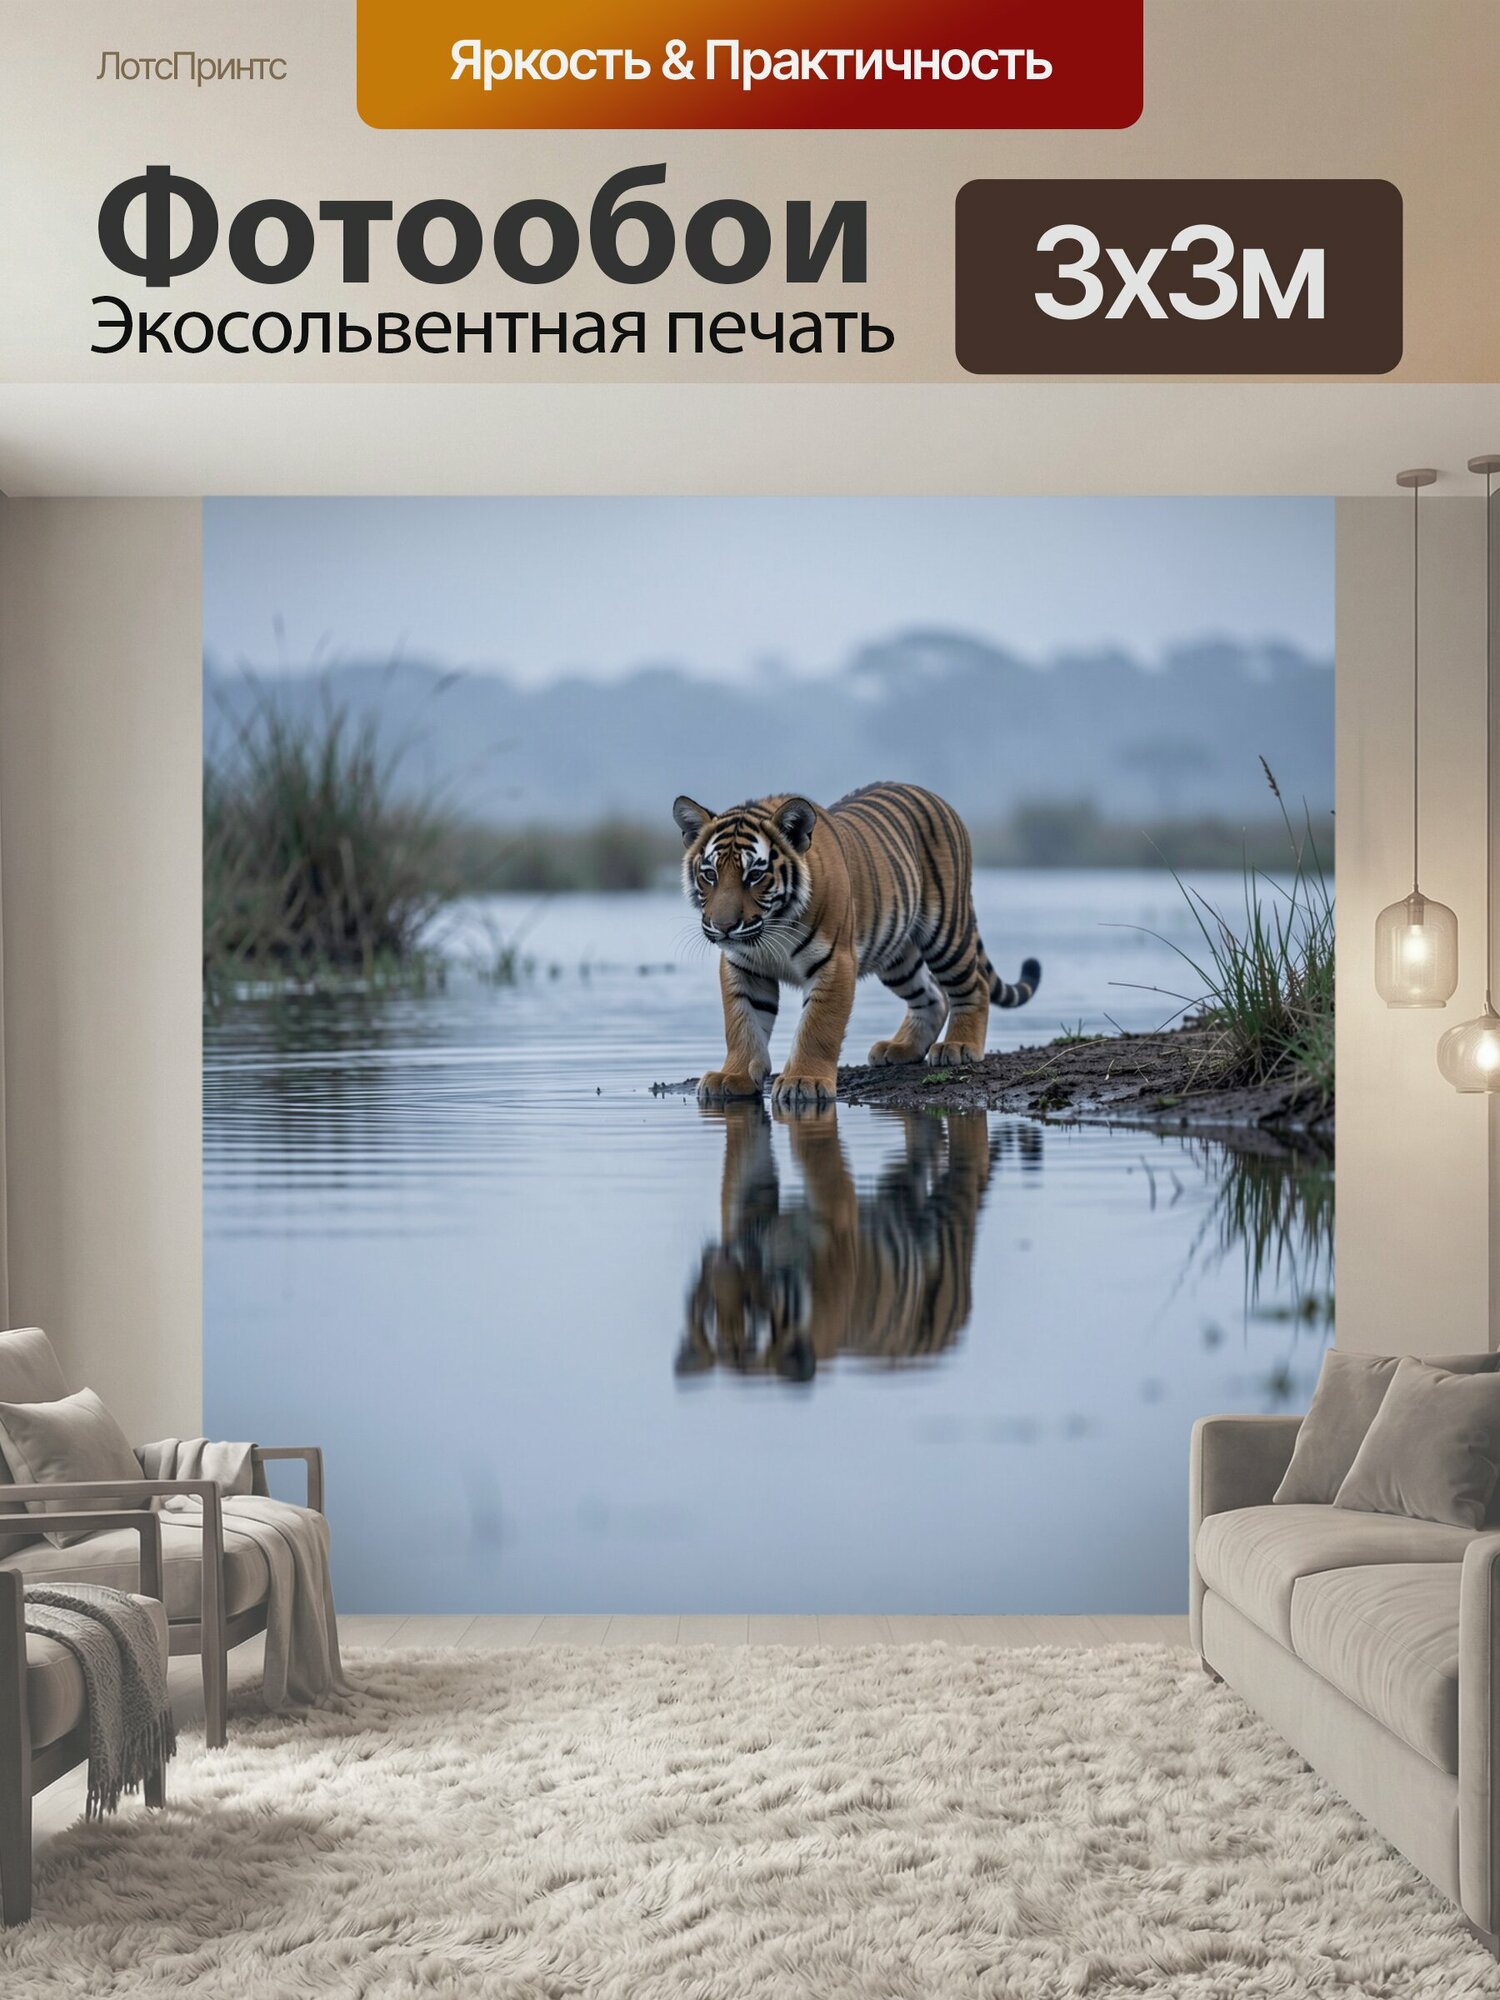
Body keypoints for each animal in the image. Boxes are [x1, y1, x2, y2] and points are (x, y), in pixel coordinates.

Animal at [673, 781, 1040, 1109]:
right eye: (709, 875)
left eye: (754, 876)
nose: (723, 927)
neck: (770, 929)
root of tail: (932, 794)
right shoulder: (742, 965)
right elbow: (742, 1024)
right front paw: (732, 1077)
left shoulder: (834, 962)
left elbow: (817, 1026)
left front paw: (804, 1080)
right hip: (897, 955)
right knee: (933, 996)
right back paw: (901, 1048)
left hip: (945, 930)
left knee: (973, 984)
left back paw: (959, 1046)